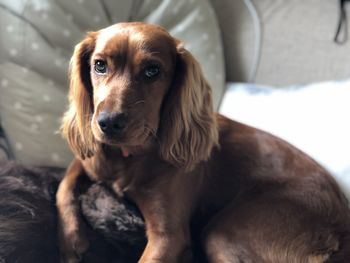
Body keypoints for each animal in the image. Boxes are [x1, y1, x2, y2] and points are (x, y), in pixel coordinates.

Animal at [56, 22, 350, 263]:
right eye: (100, 65)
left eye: (152, 71)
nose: (108, 122)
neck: (128, 157)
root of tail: (342, 227)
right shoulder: (89, 162)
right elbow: (65, 184)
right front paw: (71, 239)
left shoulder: (169, 236)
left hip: (226, 233)